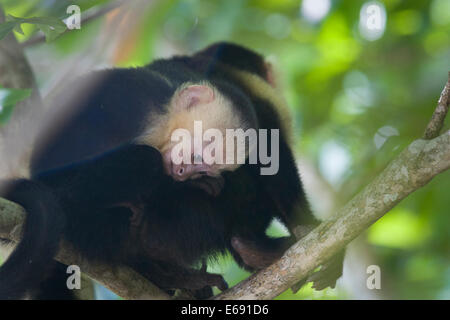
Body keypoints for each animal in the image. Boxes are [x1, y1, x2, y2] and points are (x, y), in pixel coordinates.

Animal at [0, 42, 344, 300]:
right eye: (198, 150)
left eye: (205, 164)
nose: (183, 171)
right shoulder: (138, 101)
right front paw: (308, 228)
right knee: (142, 163)